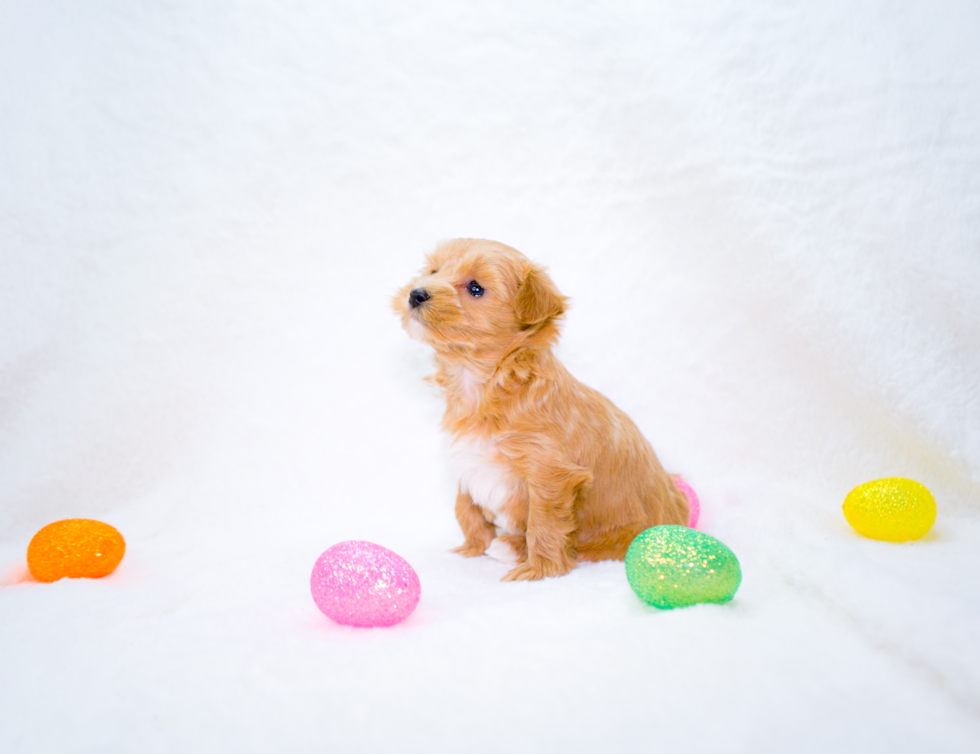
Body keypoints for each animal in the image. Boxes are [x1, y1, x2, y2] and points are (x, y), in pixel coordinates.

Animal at [394, 238, 684, 580]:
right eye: (434, 272)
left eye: (476, 288)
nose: (416, 293)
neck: (484, 383)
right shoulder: (467, 458)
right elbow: (465, 508)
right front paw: (472, 548)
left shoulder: (549, 474)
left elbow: (544, 523)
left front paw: (540, 570)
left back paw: (514, 547)